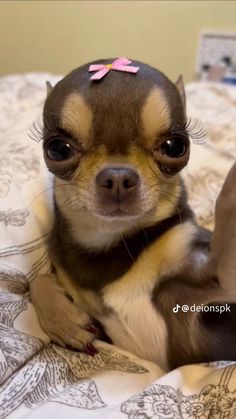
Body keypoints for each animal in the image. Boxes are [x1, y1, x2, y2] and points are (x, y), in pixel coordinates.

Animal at [30, 60, 236, 370]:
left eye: (174, 146)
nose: (117, 176)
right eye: (58, 149)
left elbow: (225, 238)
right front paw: (64, 320)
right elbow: (36, 280)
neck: (115, 245)